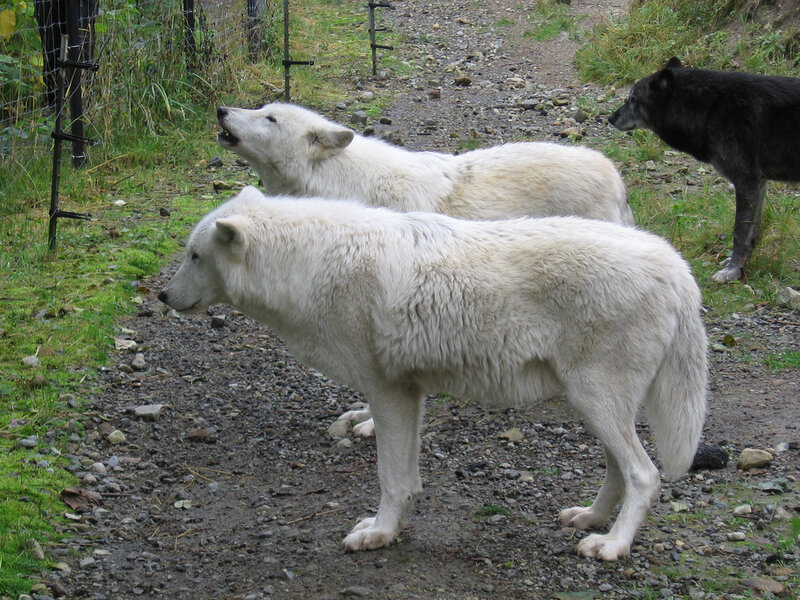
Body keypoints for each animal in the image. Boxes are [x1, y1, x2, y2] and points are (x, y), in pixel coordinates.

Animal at [159, 186, 707, 562]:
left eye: (194, 256)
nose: (162, 296)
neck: (310, 264)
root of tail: (676, 266)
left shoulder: (388, 393)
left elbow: (391, 478)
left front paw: (378, 535)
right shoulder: (411, 393)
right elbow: (408, 479)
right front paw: (388, 529)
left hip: (597, 402)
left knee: (645, 475)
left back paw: (612, 545)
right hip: (596, 407)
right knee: (619, 469)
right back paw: (590, 518)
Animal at [218, 101, 635, 436]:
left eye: (270, 118)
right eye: (261, 107)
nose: (221, 109)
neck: (342, 187)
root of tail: (613, 172)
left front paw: (373, 424)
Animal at [609, 57, 800, 283]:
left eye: (633, 99)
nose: (610, 118)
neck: (710, 107)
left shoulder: (746, 181)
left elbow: (740, 231)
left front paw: (732, 271)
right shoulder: (759, 183)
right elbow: (753, 232)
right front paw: (740, 264)